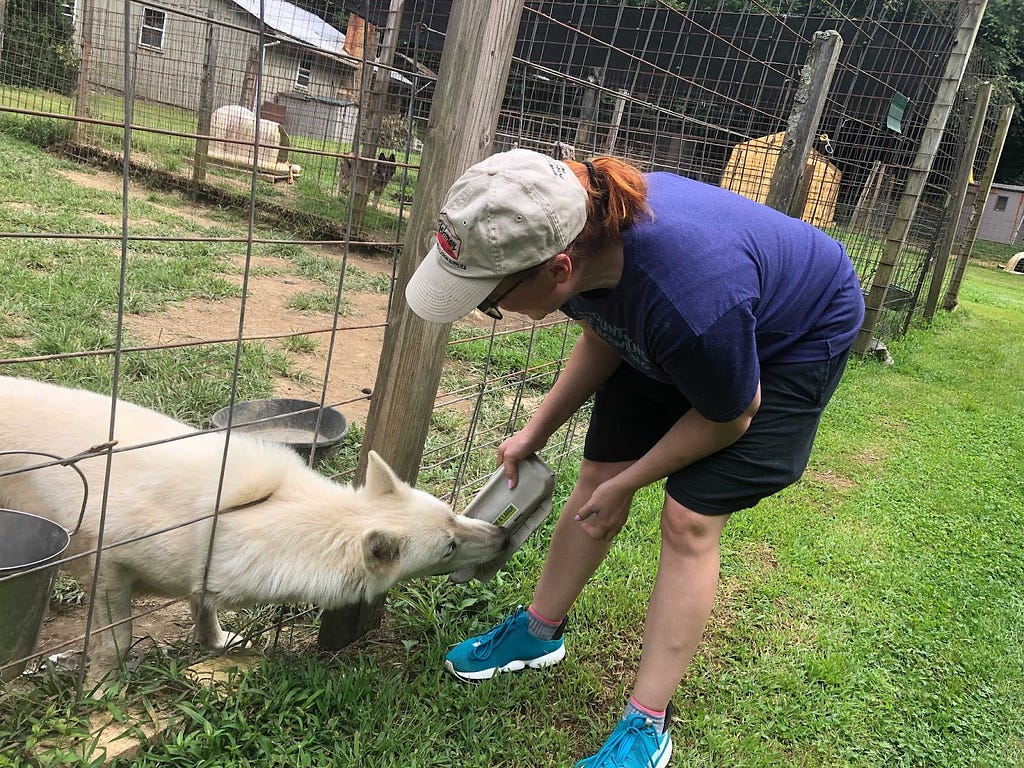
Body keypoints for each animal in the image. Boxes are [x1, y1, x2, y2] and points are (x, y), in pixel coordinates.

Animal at [0, 378, 509, 684]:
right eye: (449, 547)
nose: (503, 537)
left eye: (453, 514)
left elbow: (203, 608)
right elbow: (117, 642)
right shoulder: (109, 568)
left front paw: (214, 643)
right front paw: (102, 688)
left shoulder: (200, 575)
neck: (246, 515)